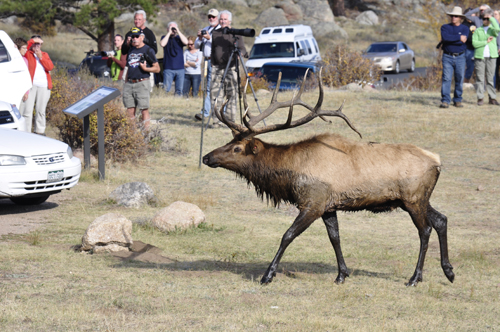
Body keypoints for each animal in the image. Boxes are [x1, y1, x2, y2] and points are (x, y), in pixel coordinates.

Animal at [202, 69, 454, 286]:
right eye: (229, 141)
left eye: (237, 148)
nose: (206, 157)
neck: (289, 174)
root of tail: (437, 161)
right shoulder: (329, 206)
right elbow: (335, 237)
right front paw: (342, 274)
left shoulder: (313, 203)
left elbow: (287, 235)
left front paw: (268, 275)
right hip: (418, 198)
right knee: (441, 219)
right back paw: (449, 271)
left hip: (413, 198)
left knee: (425, 230)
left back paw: (415, 278)